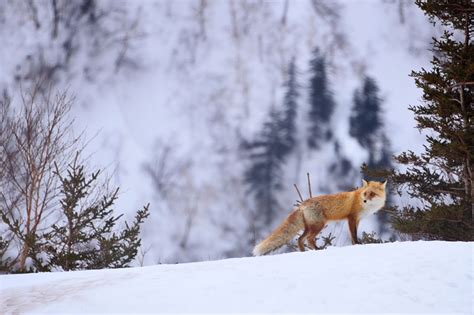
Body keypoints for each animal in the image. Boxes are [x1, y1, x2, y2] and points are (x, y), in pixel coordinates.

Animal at [252, 180, 386, 256]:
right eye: (365, 193)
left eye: (372, 194)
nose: (364, 200)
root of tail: (303, 204)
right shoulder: (351, 218)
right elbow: (353, 235)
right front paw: (357, 245)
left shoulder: (357, 220)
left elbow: (354, 234)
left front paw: (356, 244)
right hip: (318, 226)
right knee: (309, 239)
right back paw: (318, 249)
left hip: (309, 227)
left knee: (300, 239)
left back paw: (303, 252)